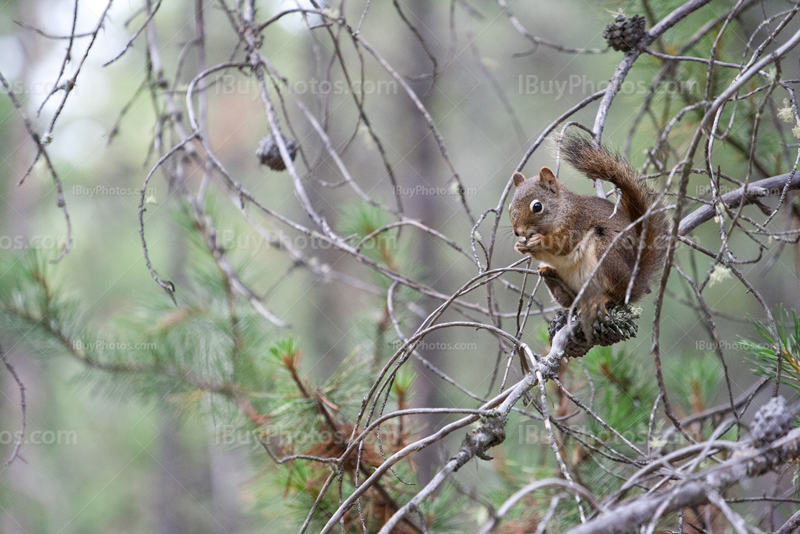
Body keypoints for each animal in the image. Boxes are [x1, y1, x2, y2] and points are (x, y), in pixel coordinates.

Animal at [510, 134, 664, 338]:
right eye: (510, 207)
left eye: (537, 206)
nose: (518, 231)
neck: (563, 210)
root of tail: (635, 280)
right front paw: (520, 246)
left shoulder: (577, 223)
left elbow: (563, 245)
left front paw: (539, 242)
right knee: (570, 299)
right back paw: (553, 279)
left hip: (607, 254)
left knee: (617, 295)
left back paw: (602, 299)